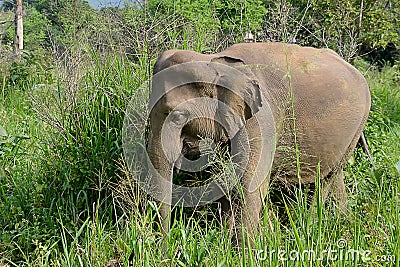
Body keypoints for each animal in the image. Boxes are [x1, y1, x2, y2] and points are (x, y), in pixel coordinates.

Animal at [145, 42, 372, 247]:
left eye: (178, 116)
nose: (166, 248)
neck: (212, 61)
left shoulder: (261, 121)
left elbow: (250, 184)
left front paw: (243, 252)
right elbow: (226, 179)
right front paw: (225, 241)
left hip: (359, 124)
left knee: (326, 178)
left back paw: (311, 225)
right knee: (335, 176)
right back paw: (341, 220)